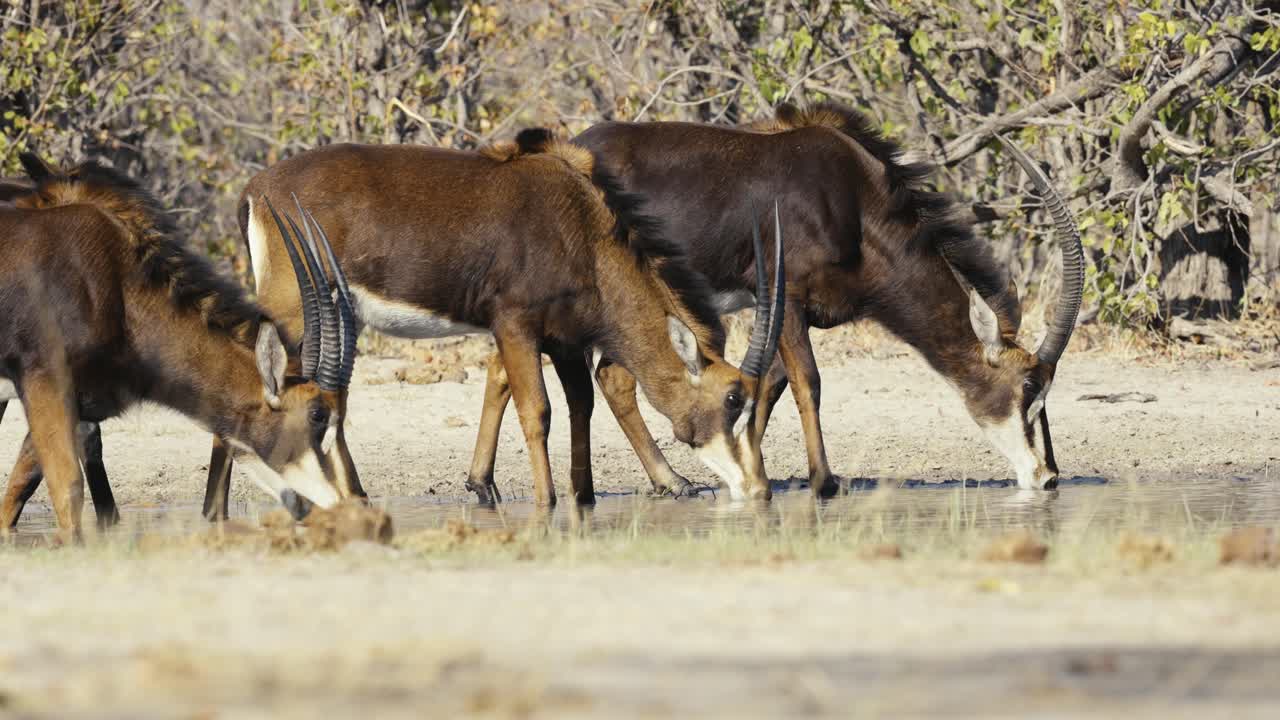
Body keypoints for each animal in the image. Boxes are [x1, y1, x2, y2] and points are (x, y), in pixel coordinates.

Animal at [0, 153, 360, 538]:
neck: (116, 287)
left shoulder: (76, 398)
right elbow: (67, 487)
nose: (344, 504)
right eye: (317, 414)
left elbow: (22, 484)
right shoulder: (45, 380)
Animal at [471, 102, 1084, 496]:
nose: (1048, 477)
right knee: (601, 377)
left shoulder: (792, 315)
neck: (852, 201)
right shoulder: (786, 300)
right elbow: (808, 382)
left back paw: (487, 483)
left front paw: (753, 466)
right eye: (1028, 389)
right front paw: (823, 482)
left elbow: (767, 385)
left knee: (530, 372)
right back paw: (666, 481)